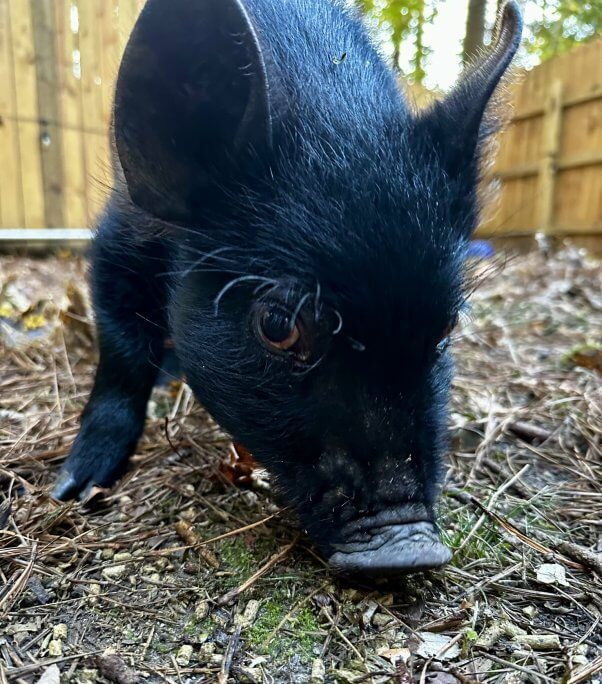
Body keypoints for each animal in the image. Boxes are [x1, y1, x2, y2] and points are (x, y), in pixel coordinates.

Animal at [52, 0, 520, 576]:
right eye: (278, 325)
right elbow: (122, 355)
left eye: (446, 327)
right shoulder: (117, 239)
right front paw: (72, 489)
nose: (411, 546)